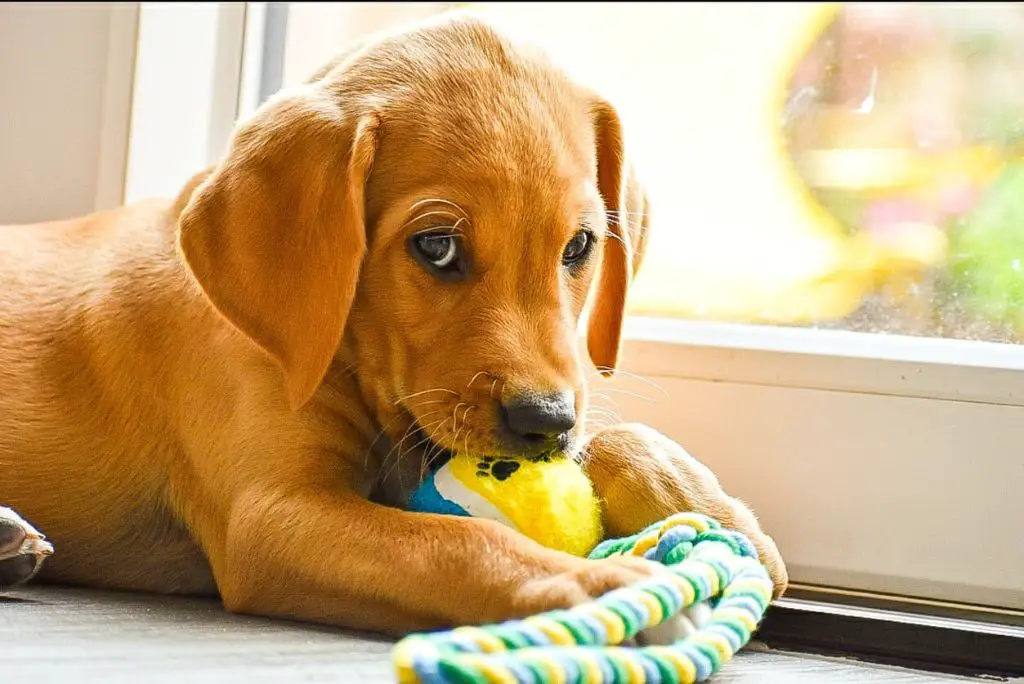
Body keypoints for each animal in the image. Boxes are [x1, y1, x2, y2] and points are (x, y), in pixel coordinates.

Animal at [0, 13, 786, 634]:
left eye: (580, 247)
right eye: (435, 247)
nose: (544, 423)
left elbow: (615, 436)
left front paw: (709, 507)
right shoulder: (277, 515)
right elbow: (463, 544)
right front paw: (608, 586)